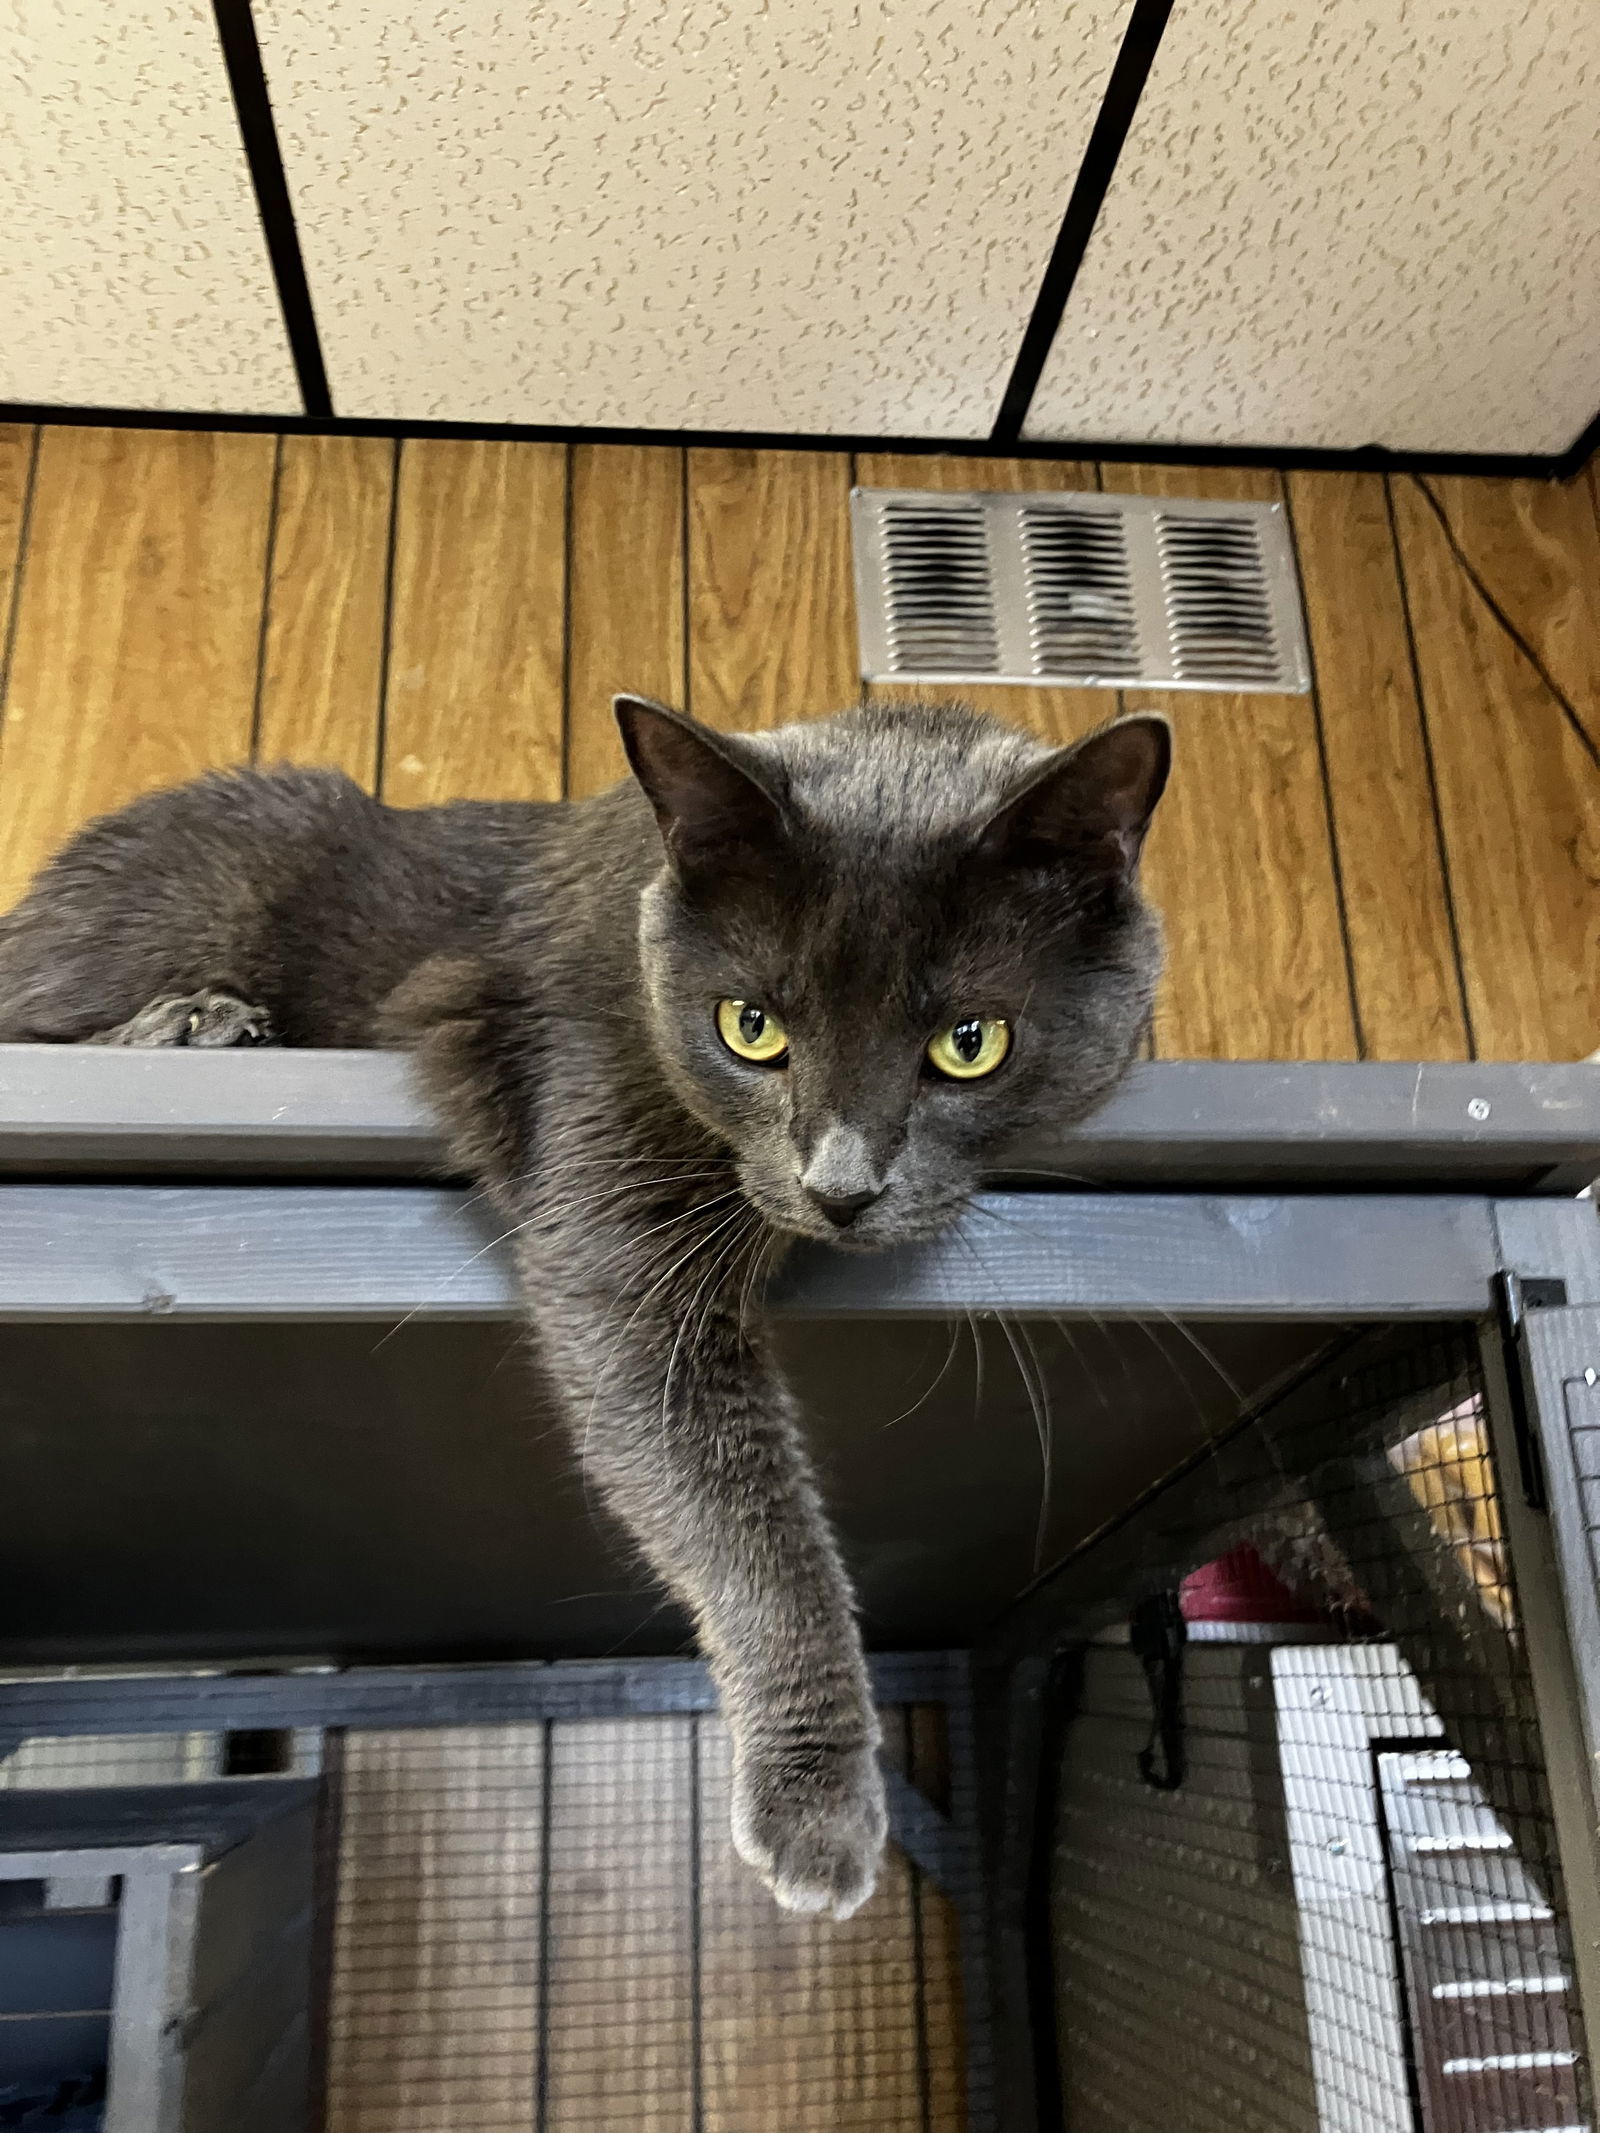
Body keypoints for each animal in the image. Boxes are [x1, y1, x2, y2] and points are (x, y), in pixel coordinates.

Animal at [0, 699, 1169, 1919]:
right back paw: (199, 1024)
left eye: (969, 1043)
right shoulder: (611, 1188)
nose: (839, 1186)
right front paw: (817, 1815)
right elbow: (743, 1524)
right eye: (749, 1026)